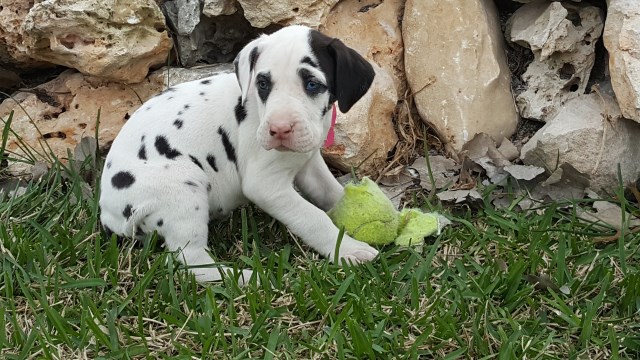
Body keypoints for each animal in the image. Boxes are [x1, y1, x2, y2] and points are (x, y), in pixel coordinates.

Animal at [99, 26, 378, 284]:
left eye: (312, 84)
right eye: (263, 84)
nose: (279, 129)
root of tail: (109, 213)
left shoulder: (309, 163)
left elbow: (332, 192)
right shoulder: (266, 186)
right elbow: (313, 218)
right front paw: (349, 249)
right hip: (183, 187)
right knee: (191, 263)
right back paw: (245, 277)